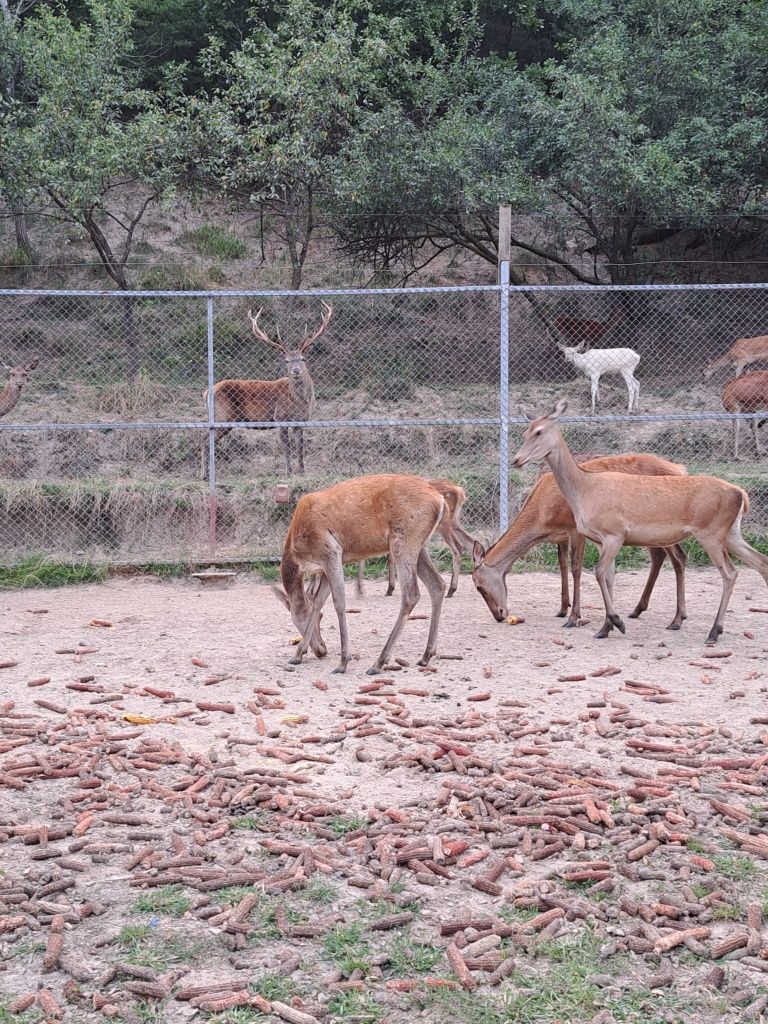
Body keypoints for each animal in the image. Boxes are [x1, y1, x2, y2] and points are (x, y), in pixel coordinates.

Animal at [201, 301, 333, 477]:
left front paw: (302, 471)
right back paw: (204, 474)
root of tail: (207, 392)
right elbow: (287, 448)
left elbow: (300, 448)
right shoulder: (280, 418)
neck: (301, 400)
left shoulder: (302, 420)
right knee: (203, 438)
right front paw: (288, 472)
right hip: (223, 416)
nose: (296, 370)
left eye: (303, 358)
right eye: (286, 360)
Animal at [274, 473, 444, 679]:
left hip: (403, 540)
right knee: (437, 584)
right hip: (420, 546)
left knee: (411, 594)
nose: (321, 650)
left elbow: (339, 602)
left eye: (296, 617)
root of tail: (439, 500)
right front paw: (297, 655)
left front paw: (343, 662)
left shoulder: (330, 551)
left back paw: (379, 662)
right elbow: (318, 601)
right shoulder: (327, 565)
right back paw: (426, 655)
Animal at [473, 452, 688, 626]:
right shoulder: (560, 535)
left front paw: (574, 616)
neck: (543, 516)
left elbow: (576, 569)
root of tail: (681, 469)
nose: (499, 615)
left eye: (479, 587)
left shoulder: (575, 529)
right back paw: (639, 609)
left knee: (679, 557)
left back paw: (677, 618)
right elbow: (562, 565)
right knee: (659, 556)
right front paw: (562, 609)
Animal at [512, 397, 768, 643]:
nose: (516, 460)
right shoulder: (600, 540)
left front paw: (616, 622)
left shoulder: (615, 533)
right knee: (760, 562)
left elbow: (598, 572)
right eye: (525, 433)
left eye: (539, 432)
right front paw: (605, 629)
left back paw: (714, 631)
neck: (584, 491)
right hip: (732, 534)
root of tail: (742, 494)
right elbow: (608, 577)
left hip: (711, 533)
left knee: (730, 573)